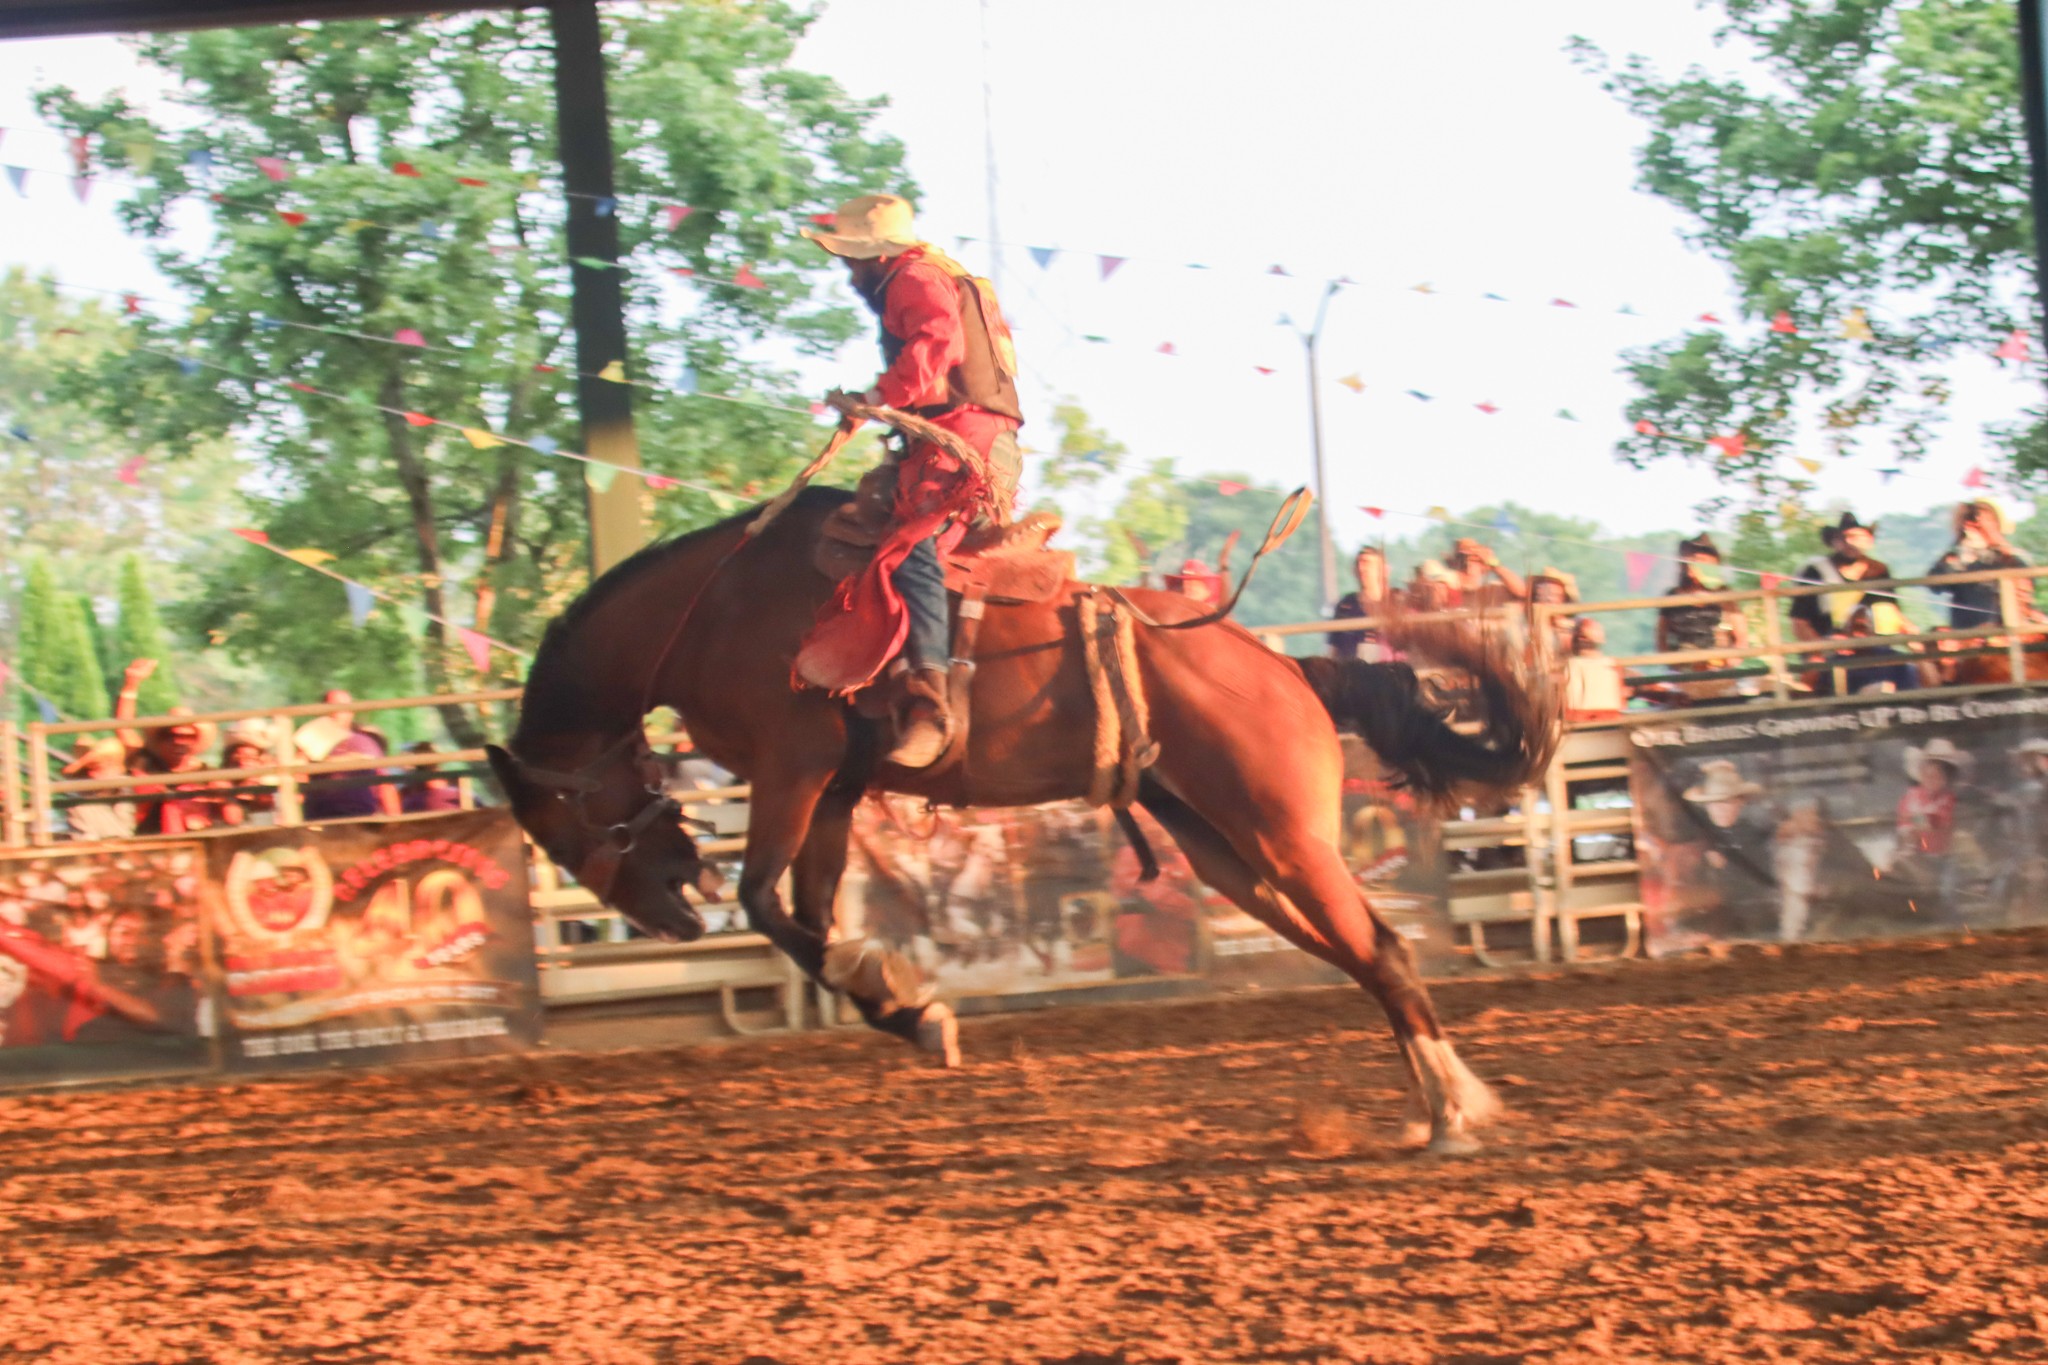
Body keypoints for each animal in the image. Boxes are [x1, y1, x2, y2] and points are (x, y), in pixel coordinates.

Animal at [487, 456, 1556, 1154]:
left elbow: (767, 903)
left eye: (567, 827)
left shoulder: (793, 768)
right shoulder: (835, 785)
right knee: (1361, 954)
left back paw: (1453, 1113)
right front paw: (906, 1004)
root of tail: (1284, 664)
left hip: (1286, 837)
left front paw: (913, 1005)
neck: (714, 609)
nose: (667, 915)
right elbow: (813, 911)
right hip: (1229, 851)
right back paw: (1436, 1101)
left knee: (1385, 948)